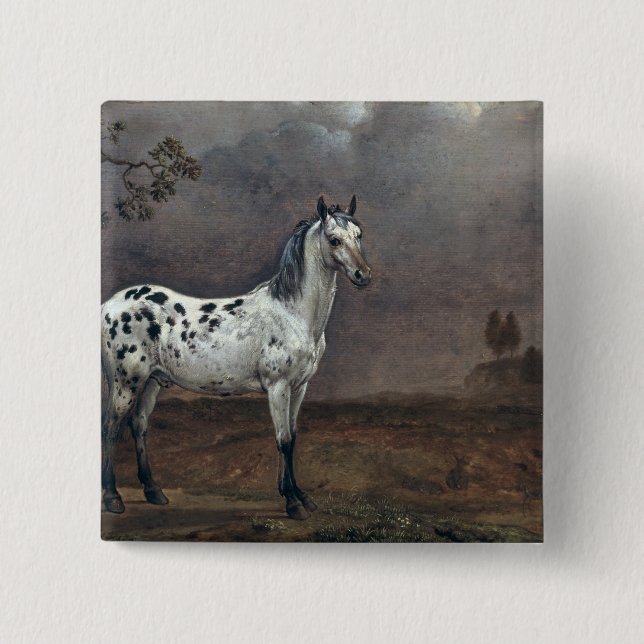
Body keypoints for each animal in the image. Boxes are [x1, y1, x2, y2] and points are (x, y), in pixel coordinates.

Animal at [101, 195, 371, 520]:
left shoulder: (299, 388)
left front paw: (300, 496)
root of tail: (109, 305)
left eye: (359, 235)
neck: (292, 314)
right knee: (110, 428)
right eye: (334, 240)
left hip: (152, 381)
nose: (363, 275)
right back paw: (112, 497)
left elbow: (292, 438)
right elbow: (283, 440)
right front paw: (293, 503)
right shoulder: (278, 387)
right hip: (125, 383)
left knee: (139, 426)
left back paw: (153, 491)